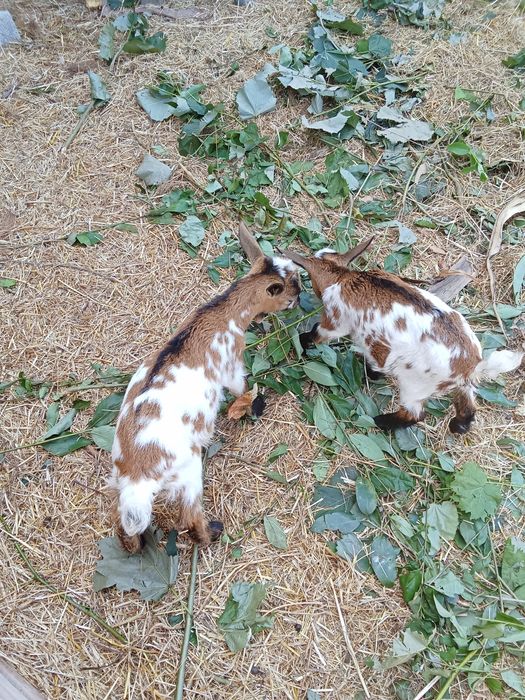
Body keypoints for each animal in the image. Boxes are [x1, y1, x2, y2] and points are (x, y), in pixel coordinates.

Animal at [110, 223, 300, 553]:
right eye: (290, 287)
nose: (301, 296)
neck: (221, 313)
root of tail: (137, 476)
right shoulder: (231, 362)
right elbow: (242, 387)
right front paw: (256, 405)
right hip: (189, 472)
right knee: (188, 518)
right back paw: (213, 532)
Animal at [282, 239, 523, 434]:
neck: (344, 277)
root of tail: (471, 365)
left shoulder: (335, 321)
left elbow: (319, 333)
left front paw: (301, 343)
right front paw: (373, 373)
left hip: (414, 386)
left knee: (414, 414)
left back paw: (380, 421)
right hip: (460, 385)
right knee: (468, 405)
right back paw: (458, 427)